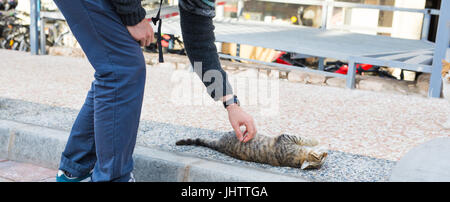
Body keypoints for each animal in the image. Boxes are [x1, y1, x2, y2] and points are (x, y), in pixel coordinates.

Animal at [175, 132, 326, 170]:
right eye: (321, 158)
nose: (326, 154)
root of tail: (219, 144)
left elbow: (306, 140)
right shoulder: (286, 138)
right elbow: (307, 140)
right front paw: (318, 141)